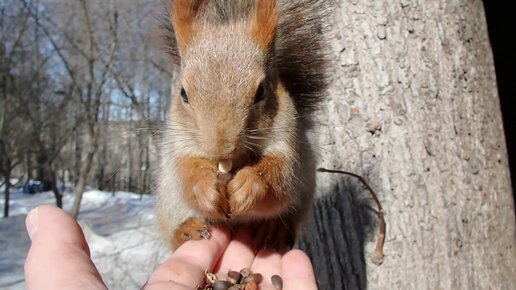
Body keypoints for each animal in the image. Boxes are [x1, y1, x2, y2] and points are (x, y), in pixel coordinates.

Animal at [155, 0, 328, 249]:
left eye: (262, 91)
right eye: (183, 93)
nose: (221, 149)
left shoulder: (288, 143)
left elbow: (280, 177)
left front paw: (250, 185)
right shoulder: (179, 144)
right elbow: (187, 172)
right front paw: (206, 188)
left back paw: (273, 230)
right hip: (168, 201)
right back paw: (186, 230)